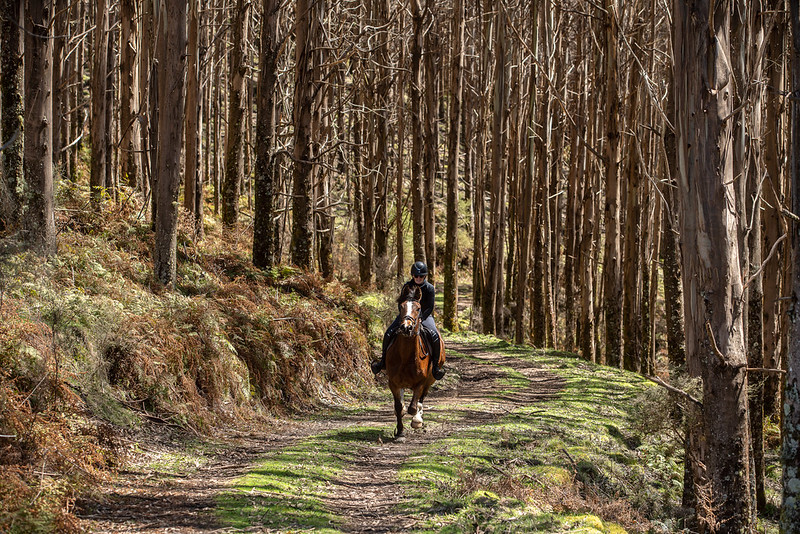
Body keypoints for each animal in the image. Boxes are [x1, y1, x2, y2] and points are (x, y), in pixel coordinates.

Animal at [386, 284, 446, 440]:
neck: (406, 357)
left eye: (418, 308)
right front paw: (400, 431)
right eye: (401, 306)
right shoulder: (393, 382)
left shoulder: (421, 382)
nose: (406, 327)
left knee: (420, 400)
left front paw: (416, 421)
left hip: (430, 380)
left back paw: (418, 419)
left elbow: (413, 407)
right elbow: (399, 407)